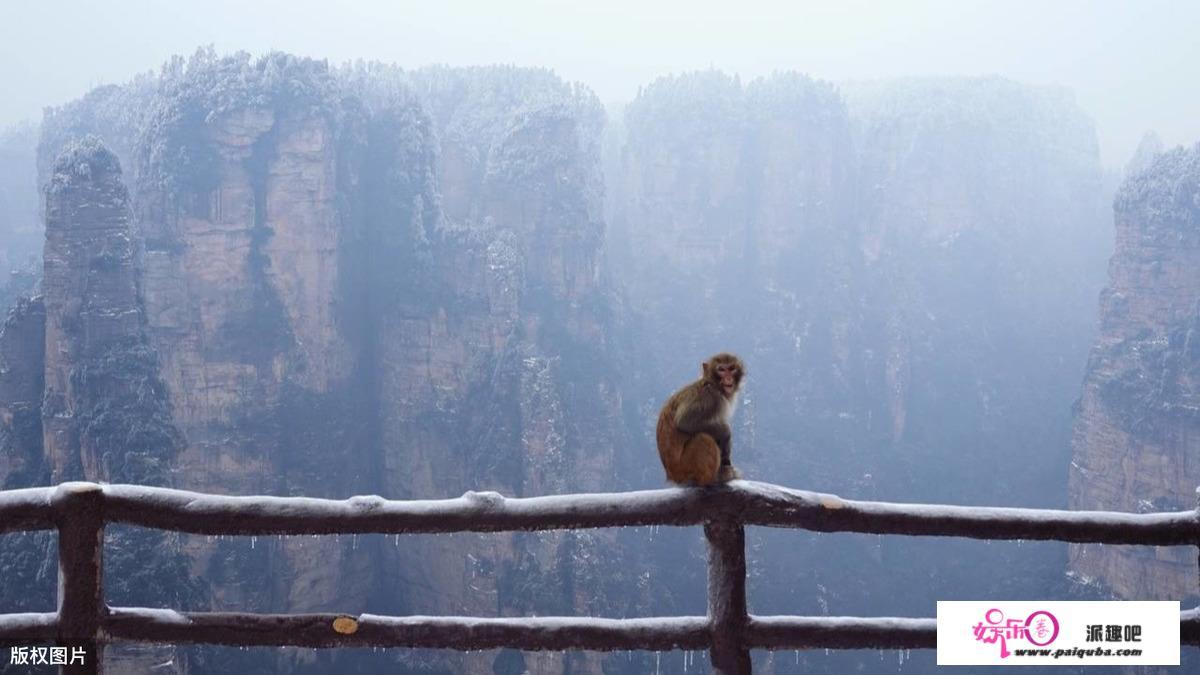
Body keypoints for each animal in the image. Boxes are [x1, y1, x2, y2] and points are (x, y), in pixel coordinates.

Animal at [657, 353, 739, 482]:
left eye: (731, 369)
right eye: (721, 369)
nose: (728, 378)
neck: (711, 383)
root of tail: (671, 475)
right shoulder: (710, 397)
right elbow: (684, 422)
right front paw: (726, 432)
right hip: (684, 467)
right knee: (702, 438)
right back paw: (712, 479)